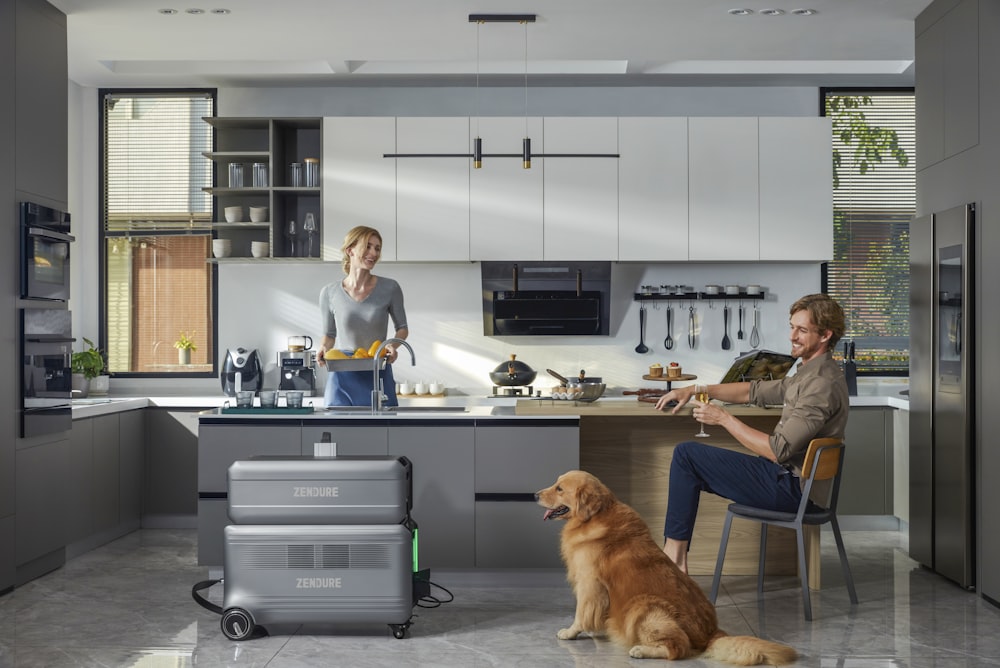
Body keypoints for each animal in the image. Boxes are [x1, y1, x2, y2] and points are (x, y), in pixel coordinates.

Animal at [536, 468, 800, 664]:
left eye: (560, 488)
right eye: (556, 483)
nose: (535, 495)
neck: (593, 518)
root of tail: (711, 633)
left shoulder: (589, 583)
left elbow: (581, 613)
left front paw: (571, 632)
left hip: (642, 605)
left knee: (678, 648)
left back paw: (641, 650)